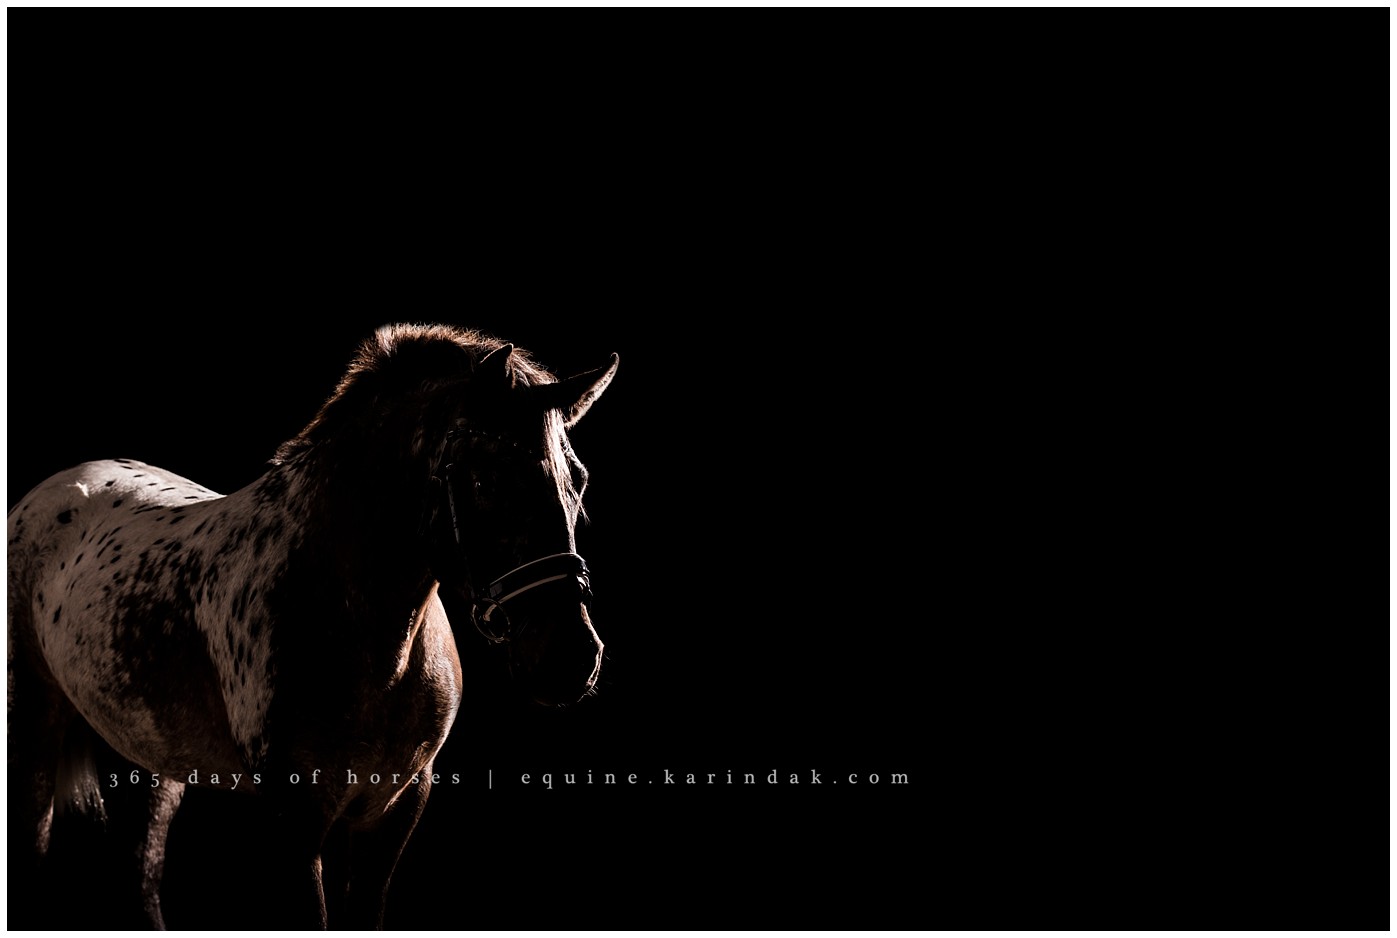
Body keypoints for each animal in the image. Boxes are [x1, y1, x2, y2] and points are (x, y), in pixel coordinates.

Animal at [7, 323, 618, 929]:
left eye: (578, 479)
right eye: (486, 478)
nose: (570, 658)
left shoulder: (389, 812)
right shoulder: (296, 820)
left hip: (151, 757)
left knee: (141, 871)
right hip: (35, 729)